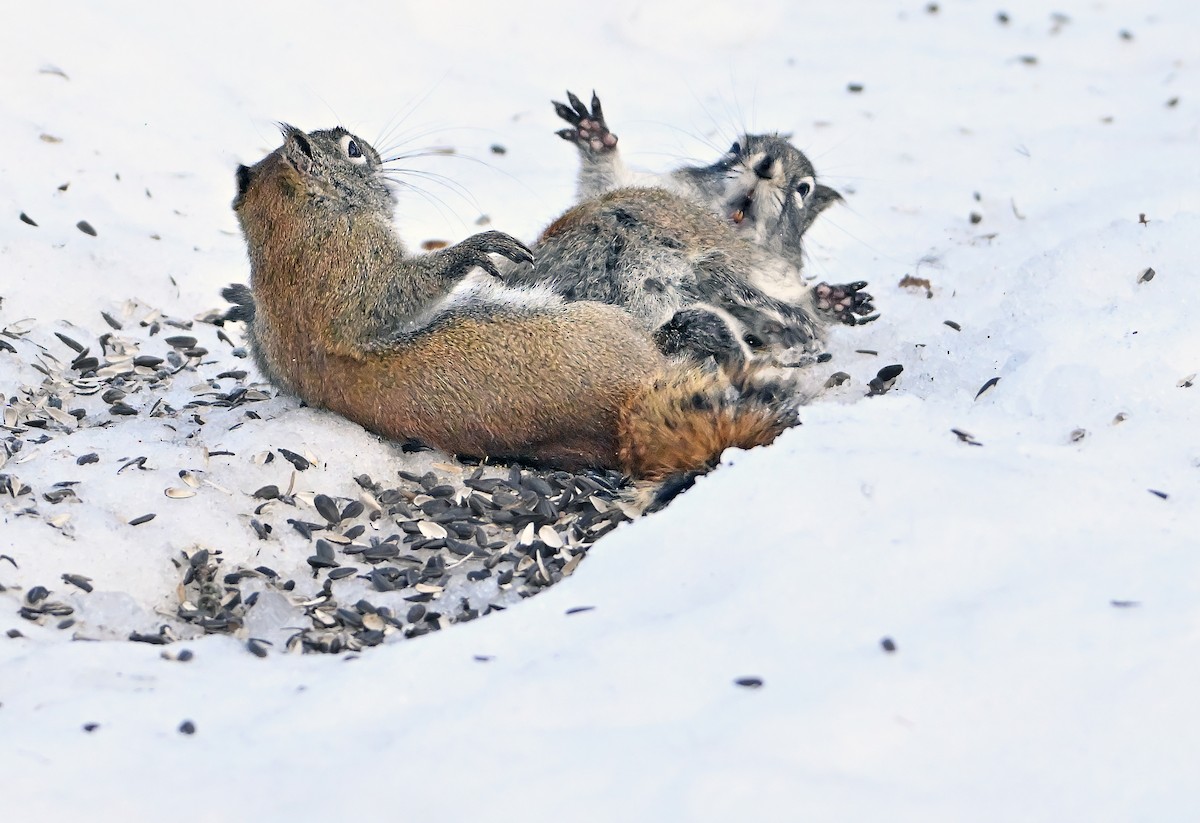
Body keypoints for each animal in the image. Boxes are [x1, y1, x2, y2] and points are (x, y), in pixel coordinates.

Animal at [226, 124, 799, 481]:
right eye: (350, 149)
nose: (377, 153)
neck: (288, 220)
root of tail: (625, 408)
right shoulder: (350, 268)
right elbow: (390, 298)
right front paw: (479, 248)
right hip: (605, 326)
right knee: (681, 337)